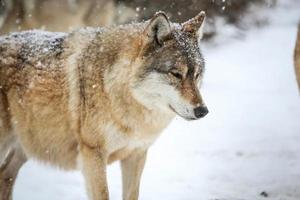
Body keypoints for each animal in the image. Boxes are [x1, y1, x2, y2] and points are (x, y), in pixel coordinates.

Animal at [0, 11, 207, 200]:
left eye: (197, 75)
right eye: (176, 74)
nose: (203, 111)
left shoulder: (136, 154)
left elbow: (132, 195)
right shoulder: (93, 154)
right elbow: (103, 195)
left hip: (28, 145)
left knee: (5, 174)